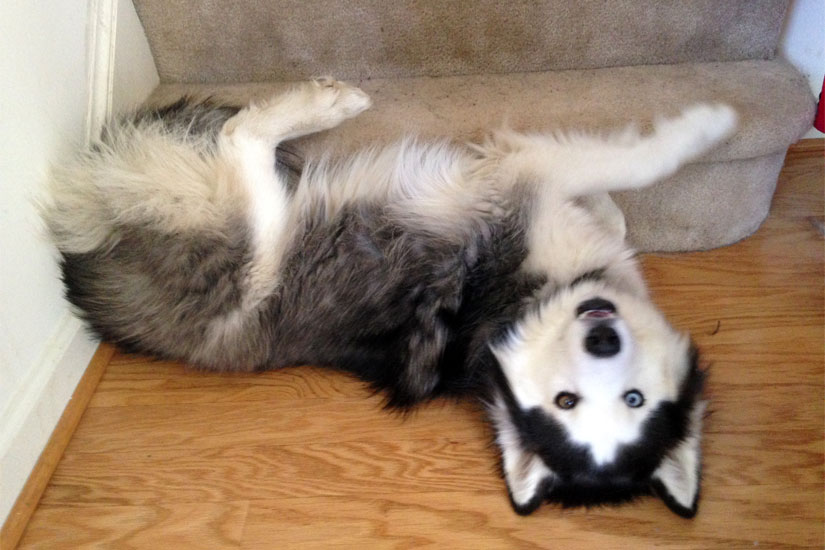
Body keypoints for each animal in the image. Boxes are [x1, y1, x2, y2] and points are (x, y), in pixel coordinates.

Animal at [41, 78, 736, 517]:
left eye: (631, 399)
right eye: (568, 400)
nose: (601, 332)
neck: (521, 313)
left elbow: (615, 202)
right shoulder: (525, 175)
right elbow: (635, 169)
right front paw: (707, 128)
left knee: (238, 139)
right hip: (255, 230)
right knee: (240, 133)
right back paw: (325, 103)